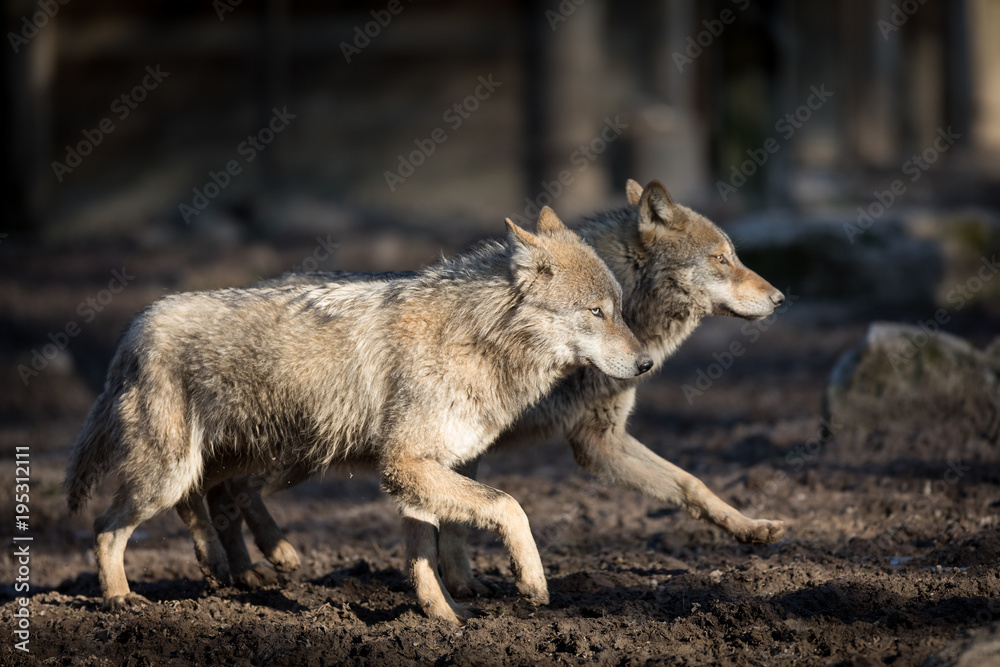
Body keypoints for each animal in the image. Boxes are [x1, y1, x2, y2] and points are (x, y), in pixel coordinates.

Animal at [64, 208, 652, 624]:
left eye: (620, 311)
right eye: (596, 312)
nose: (646, 363)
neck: (476, 340)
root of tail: (136, 325)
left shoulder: (420, 471)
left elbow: (424, 556)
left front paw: (444, 616)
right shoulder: (406, 466)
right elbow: (509, 506)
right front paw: (530, 582)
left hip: (269, 460)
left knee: (211, 498)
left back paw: (244, 569)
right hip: (176, 474)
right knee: (107, 527)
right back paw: (121, 599)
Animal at [209, 180, 789, 601]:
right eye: (722, 259)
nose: (781, 298)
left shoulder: (591, 441)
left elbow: (692, 484)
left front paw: (750, 528)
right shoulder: (553, 444)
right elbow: (472, 517)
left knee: (218, 490)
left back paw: (240, 570)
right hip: (301, 451)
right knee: (224, 490)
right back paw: (260, 560)